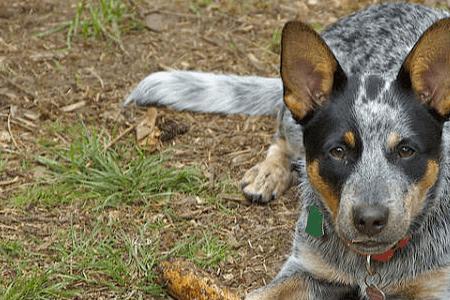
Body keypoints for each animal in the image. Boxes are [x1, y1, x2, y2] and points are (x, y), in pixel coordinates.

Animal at [125, 2, 450, 300]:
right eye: (337, 151)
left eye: (406, 150)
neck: (371, 265)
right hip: (292, 126)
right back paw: (266, 175)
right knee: (280, 140)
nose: (370, 219)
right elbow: (258, 295)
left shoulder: (435, 286)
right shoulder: (306, 269)